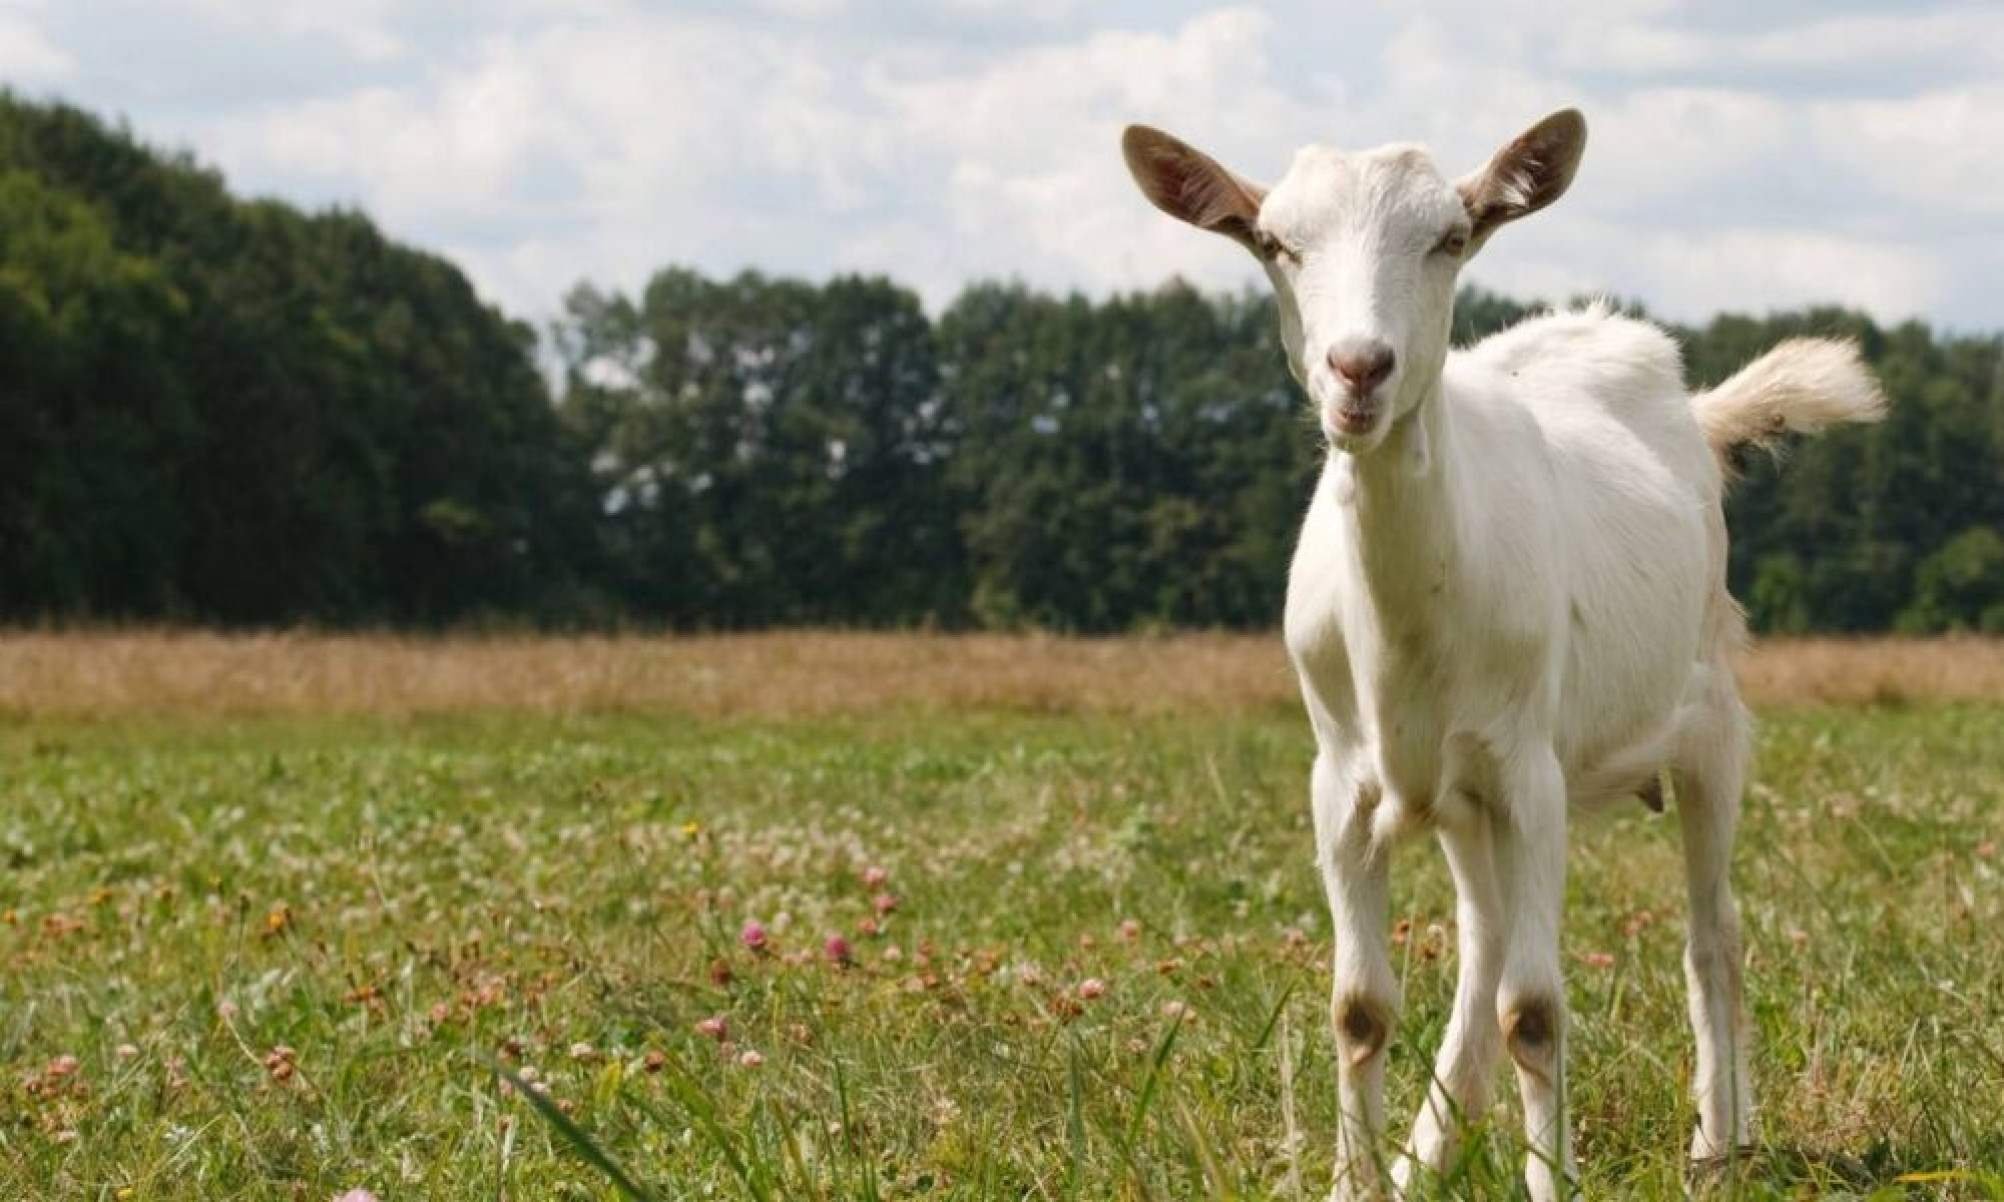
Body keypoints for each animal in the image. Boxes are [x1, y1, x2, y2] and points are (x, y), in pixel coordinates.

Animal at [1121, 109, 1885, 1200]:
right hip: (1459, 794)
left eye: (1450, 237)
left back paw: (1717, 1139)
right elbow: (1360, 1007)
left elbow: (1536, 1011)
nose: (1359, 368)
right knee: (1482, 942)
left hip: (1707, 722)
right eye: (1275, 243)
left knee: (1712, 932)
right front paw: (1361, 1179)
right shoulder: (1341, 780)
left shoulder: (1532, 774)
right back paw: (1424, 1156)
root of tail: (1691, 411)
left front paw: (1549, 1176)